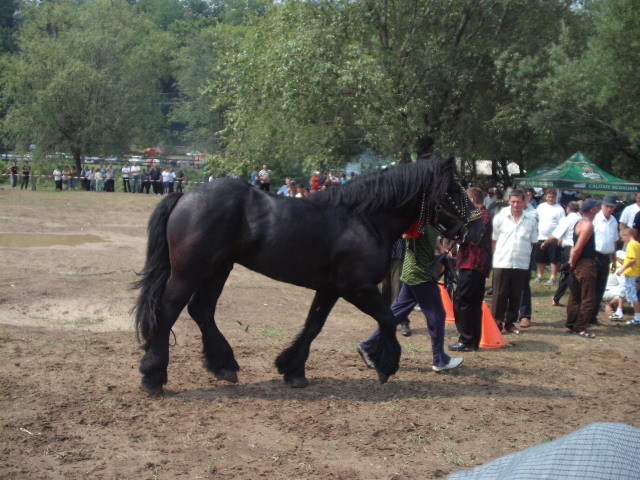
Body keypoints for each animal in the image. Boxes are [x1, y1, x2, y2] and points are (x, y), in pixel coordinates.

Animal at [132, 154, 482, 394]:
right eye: (453, 190)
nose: (477, 228)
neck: (364, 219)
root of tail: (186, 195)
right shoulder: (358, 287)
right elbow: (388, 319)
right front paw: (385, 365)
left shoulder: (331, 289)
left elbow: (314, 325)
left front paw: (293, 369)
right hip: (191, 271)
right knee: (168, 312)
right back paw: (153, 376)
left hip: (218, 269)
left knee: (201, 310)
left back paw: (224, 366)